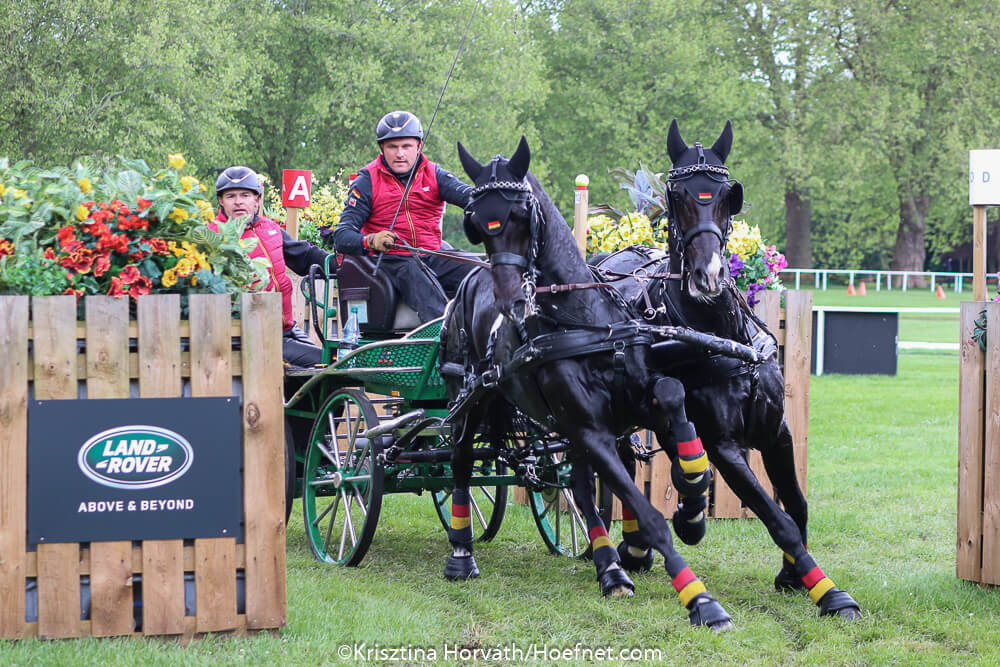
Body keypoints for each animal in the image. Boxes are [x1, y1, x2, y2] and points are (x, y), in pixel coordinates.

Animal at [438, 137, 736, 632]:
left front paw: (693, 503)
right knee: (460, 461)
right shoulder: (590, 429)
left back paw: (609, 568)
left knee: (577, 486)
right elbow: (647, 514)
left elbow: (673, 399)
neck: (583, 322)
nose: (509, 301)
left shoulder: (629, 407)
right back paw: (462, 554)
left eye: (522, 212)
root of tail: (471, 279)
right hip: (473, 399)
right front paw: (700, 599)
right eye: (476, 223)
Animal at [592, 120, 860, 620]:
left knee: (628, 458)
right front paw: (828, 592)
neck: (724, 338)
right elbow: (777, 517)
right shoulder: (724, 446)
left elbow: (796, 504)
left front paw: (794, 574)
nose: (710, 275)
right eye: (678, 196)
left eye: (725, 194)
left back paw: (644, 540)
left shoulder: (777, 433)